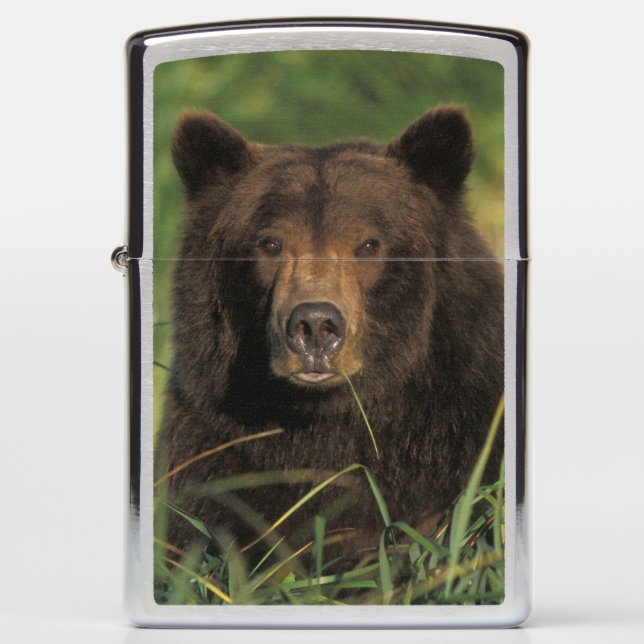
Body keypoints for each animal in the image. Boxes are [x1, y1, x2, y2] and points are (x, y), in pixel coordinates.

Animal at [156, 105, 504, 568]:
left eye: (369, 244)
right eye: (270, 243)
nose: (315, 326)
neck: (329, 419)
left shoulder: (460, 438)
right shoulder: (217, 448)